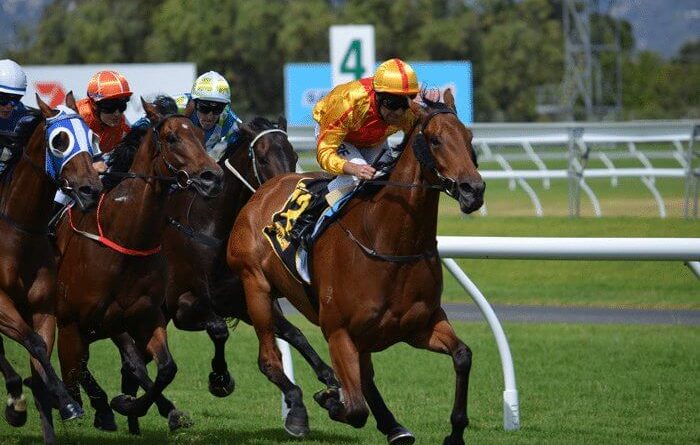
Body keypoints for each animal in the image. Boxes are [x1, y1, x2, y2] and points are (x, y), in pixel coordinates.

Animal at [0, 92, 102, 442]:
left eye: (93, 137)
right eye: (59, 141)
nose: (91, 189)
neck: (18, 233)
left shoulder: (43, 307)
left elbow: (41, 349)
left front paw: (57, 404)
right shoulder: (0, 304)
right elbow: (32, 343)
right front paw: (62, 402)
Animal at [53, 99, 223, 432]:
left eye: (200, 134)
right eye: (172, 138)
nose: (212, 176)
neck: (125, 238)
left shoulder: (146, 316)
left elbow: (165, 368)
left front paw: (131, 405)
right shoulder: (81, 321)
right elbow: (85, 368)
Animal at [227, 91, 484, 444]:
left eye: (469, 138)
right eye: (435, 140)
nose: (474, 190)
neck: (389, 243)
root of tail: (262, 191)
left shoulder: (421, 325)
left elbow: (463, 356)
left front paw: (455, 432)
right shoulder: (339, 332)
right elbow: (355, 409)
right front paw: (330, 398)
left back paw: (393, 426)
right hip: (256, 287)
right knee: (269, 360)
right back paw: (300, 410)